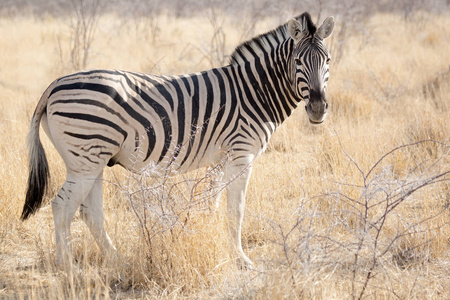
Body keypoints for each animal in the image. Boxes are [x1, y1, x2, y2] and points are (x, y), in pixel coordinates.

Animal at [22, 12, 336, 270]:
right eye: (298, 61)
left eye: (328, 61)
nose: (318, 108)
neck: (255, 92)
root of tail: (54, 85)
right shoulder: (241, 154)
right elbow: (236, 208)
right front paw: (241, 260)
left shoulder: (220, 159)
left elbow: (212, 204)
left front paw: (211, 241)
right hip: (86, 157)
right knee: (62, 207)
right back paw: (68, 269)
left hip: (93, 160)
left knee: (90, 212)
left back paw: (117, 260)